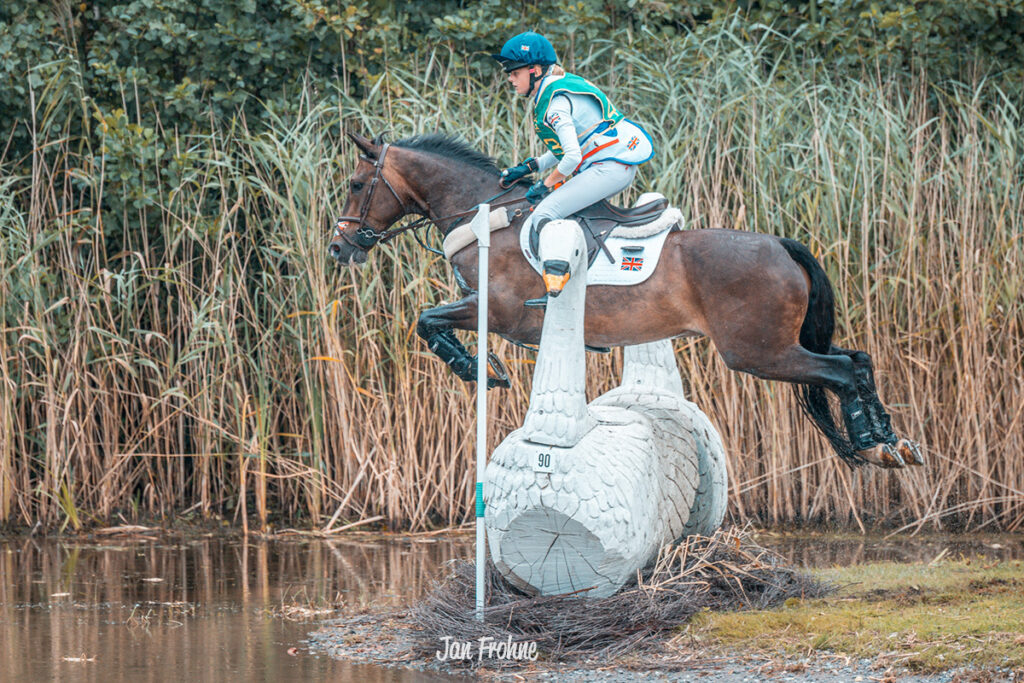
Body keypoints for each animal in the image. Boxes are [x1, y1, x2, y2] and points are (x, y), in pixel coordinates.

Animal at [327, 132, 921, 471]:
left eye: (356, 184)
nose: (339, 246)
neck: (489, 216)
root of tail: (781, 244)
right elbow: (429, 320)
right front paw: (478, 367)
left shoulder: (499, 311)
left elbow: (427, 320)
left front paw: (476, 369)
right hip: (781, 343)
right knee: (858, 360)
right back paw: (891, 443)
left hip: (759, 352)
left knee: (841, 371)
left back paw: (870, 444)